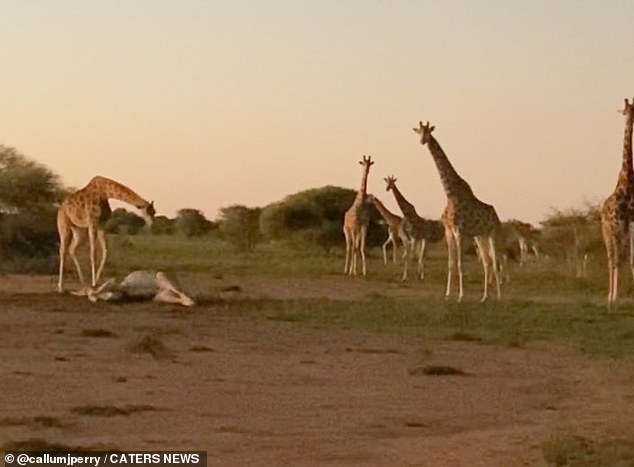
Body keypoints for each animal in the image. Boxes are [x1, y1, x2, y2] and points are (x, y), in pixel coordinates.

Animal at [412, 121, 502, 304]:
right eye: (419, 132)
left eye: (428, 131)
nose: (422, 141)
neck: (449, 193)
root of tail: (496, 216)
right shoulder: (449, 231)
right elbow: (451, 264)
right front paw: (448, 294)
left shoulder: (459, 231)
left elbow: (460, 264)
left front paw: (461, 296)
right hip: (480, 236)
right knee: (487, 262)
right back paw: (484, 297)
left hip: (492, 234)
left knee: (494, 261)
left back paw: (499, 296)